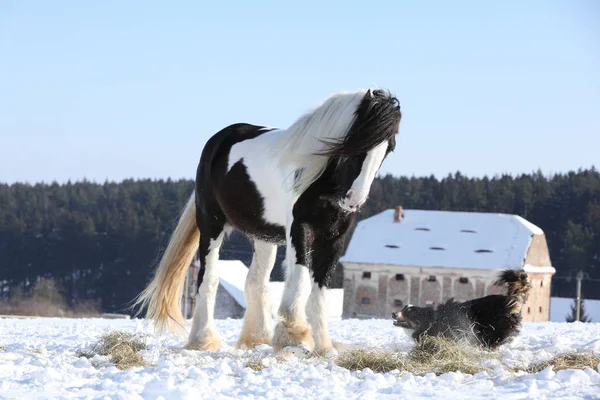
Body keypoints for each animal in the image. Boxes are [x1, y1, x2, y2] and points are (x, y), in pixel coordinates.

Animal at [134, 88, 400, 356]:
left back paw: (256, 339)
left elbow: (319, 291)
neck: (320, 180)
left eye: (388, 149)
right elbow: (301, 279)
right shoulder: (300, 229)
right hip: (211, 224)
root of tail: (219, 139)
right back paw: (204, 340)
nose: (354, 200)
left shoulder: (335, 239)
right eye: (356, 142)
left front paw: (323, 346)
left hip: (264, 236)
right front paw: (294, 336)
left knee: (256, 282)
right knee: (207, 279)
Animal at [392, 268, 532, 350]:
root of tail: (508, 302)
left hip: (491, 331)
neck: (431, 321)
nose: (393, 313)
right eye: (403, 308)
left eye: (409, 312)